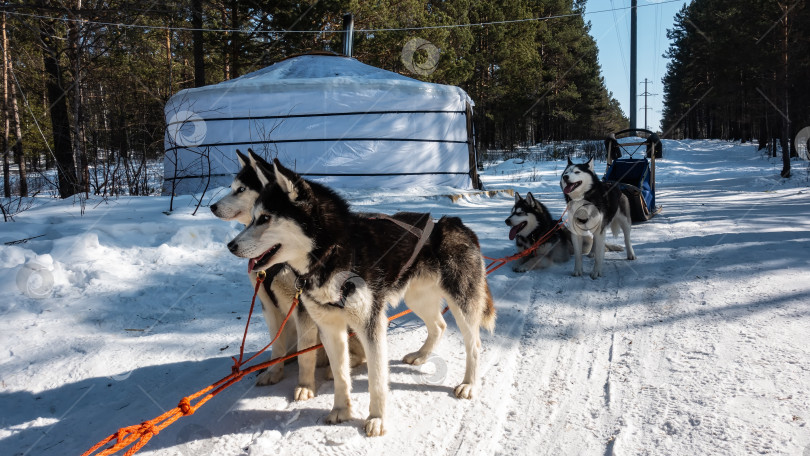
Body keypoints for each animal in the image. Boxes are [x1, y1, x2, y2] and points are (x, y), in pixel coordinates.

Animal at [210, 150, 362, 400]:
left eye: (240, 189)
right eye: (232, 187)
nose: (212, 206)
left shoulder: (303, 307)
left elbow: (306, 352)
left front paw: (305, 385)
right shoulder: (267, 305)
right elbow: (277, 345)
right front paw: (274, 371)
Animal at [224, 154, 496, 438]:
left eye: (265, 217)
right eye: (253, 217)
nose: (230, 246)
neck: (333, 253)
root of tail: (456, 223)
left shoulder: (370, 326)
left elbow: (377, 379)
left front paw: (377, 419)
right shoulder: (330, 328)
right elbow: (341, 374)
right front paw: (341, 410)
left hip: (461, 304)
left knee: (474, 344)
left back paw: (469, 384)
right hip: (417, 299)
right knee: (439, 326)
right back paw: (421, 356)